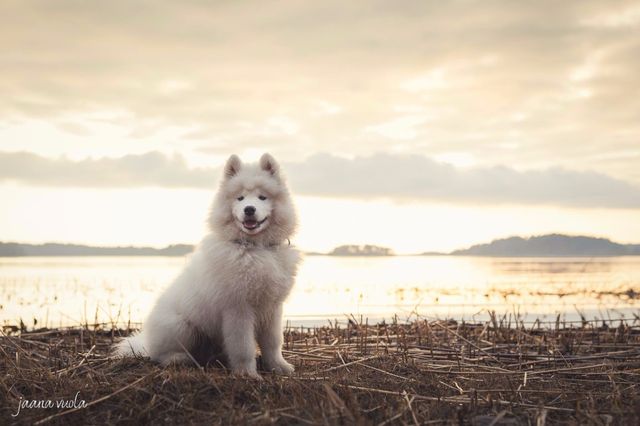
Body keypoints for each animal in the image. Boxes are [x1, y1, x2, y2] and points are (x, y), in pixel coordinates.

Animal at [115, 153, 302, 380]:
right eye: (240, 198)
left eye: (262, 197)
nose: (249, 209)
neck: (255, 248)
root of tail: (146, 341)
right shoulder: (238, 310)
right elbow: (244, 347)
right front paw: (247, 374)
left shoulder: (272, 308)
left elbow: (273, 343)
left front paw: (278, 367)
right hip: (182, 327)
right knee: (161, 355)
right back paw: (180, 359)